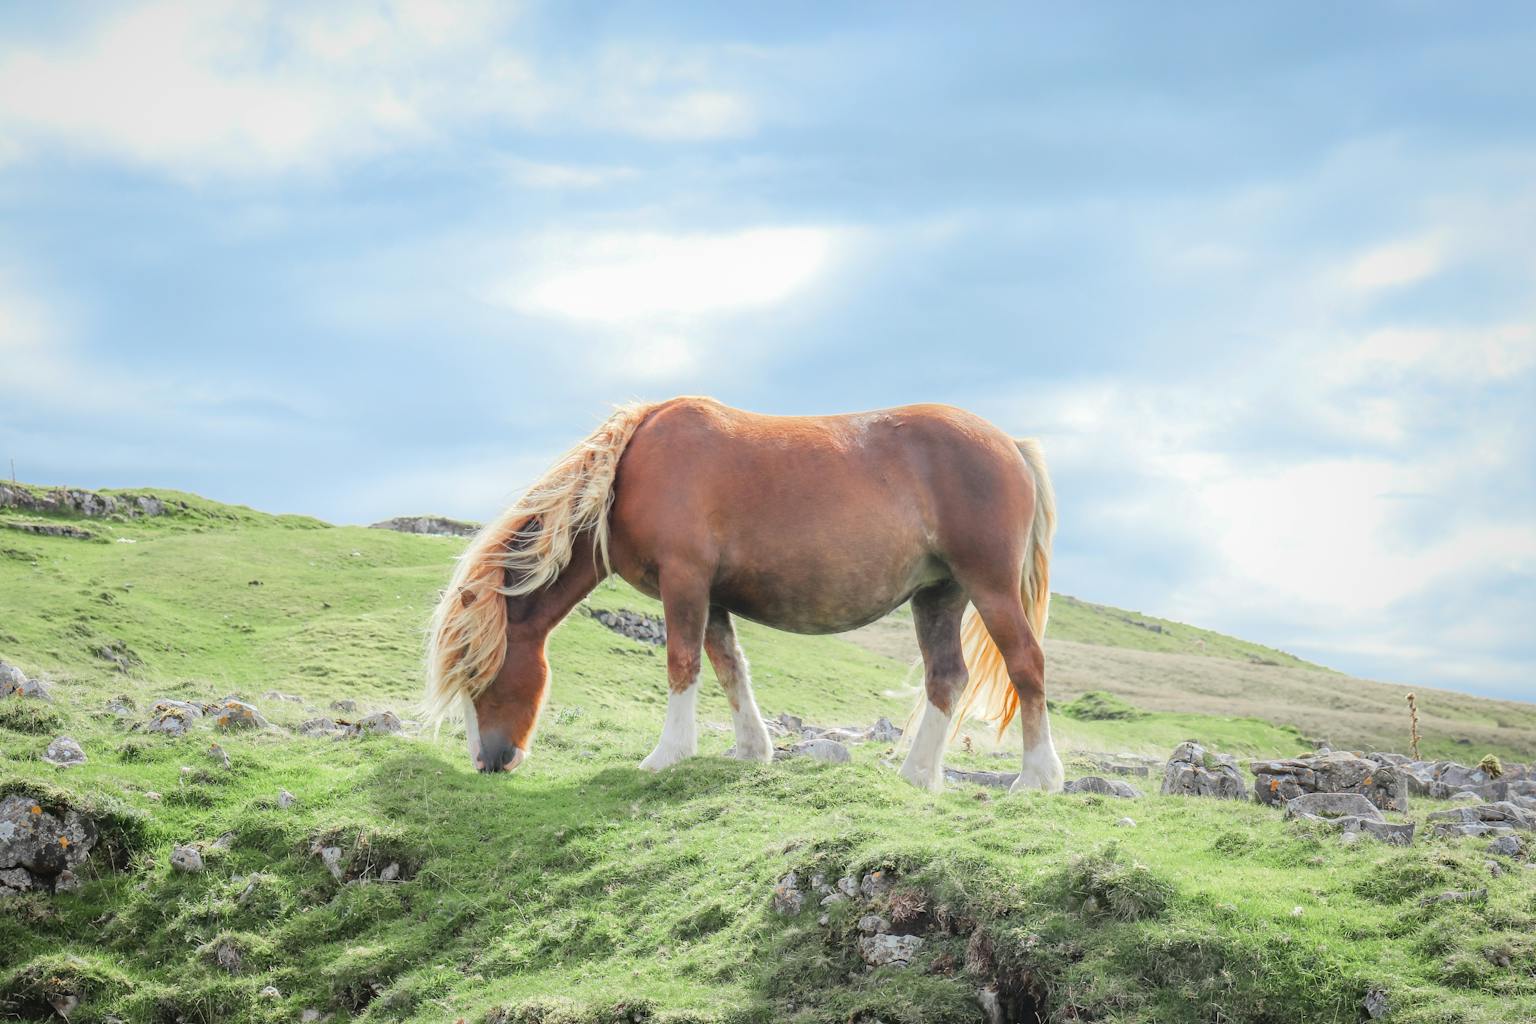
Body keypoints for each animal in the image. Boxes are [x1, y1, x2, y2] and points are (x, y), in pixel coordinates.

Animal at [425, 396, 1061, 793]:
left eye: (478, 675)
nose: (489, 762)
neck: (630, 472)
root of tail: (1010, 444)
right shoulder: (709, 594)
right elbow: (729, 665)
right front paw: (752, 750)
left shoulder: (684, 580)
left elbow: (683, 664)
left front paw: (666, 756)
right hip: (939, 593)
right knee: (947, 677)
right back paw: (918, 775)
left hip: (989, 585)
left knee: (1027, 664)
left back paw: (1037, 778)